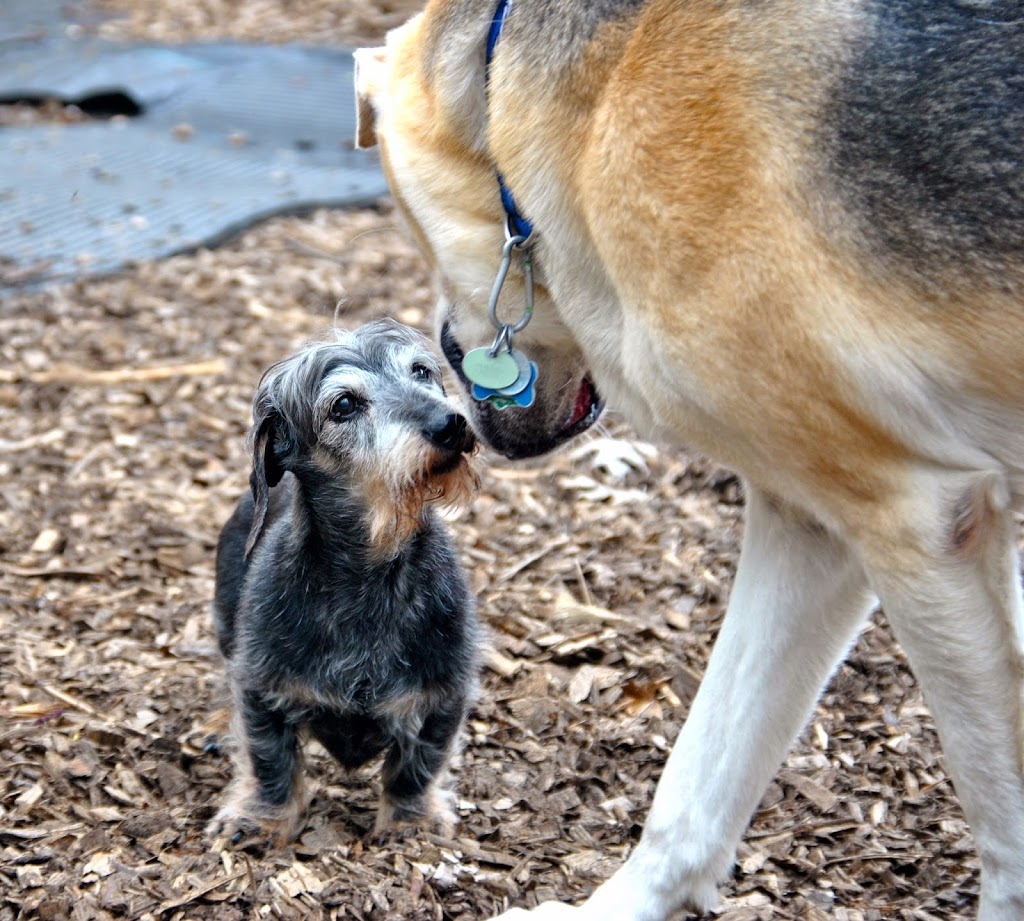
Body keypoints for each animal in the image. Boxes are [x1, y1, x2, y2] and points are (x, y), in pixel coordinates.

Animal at [208, 319, 483, 848]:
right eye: (344, 405)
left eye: (421, 372)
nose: (451, 423)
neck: (367, 576)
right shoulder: (259, 688)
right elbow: (270, 760)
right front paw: (263, 818)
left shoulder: (444, 695)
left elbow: (417, 767)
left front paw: (411, 823)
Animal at [354, 1, 1024, 921]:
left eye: (413, 234)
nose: (457, 378)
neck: (605, 84)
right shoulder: (814, 522)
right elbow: (703, 774)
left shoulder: (914, 520)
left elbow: (1003, 826)